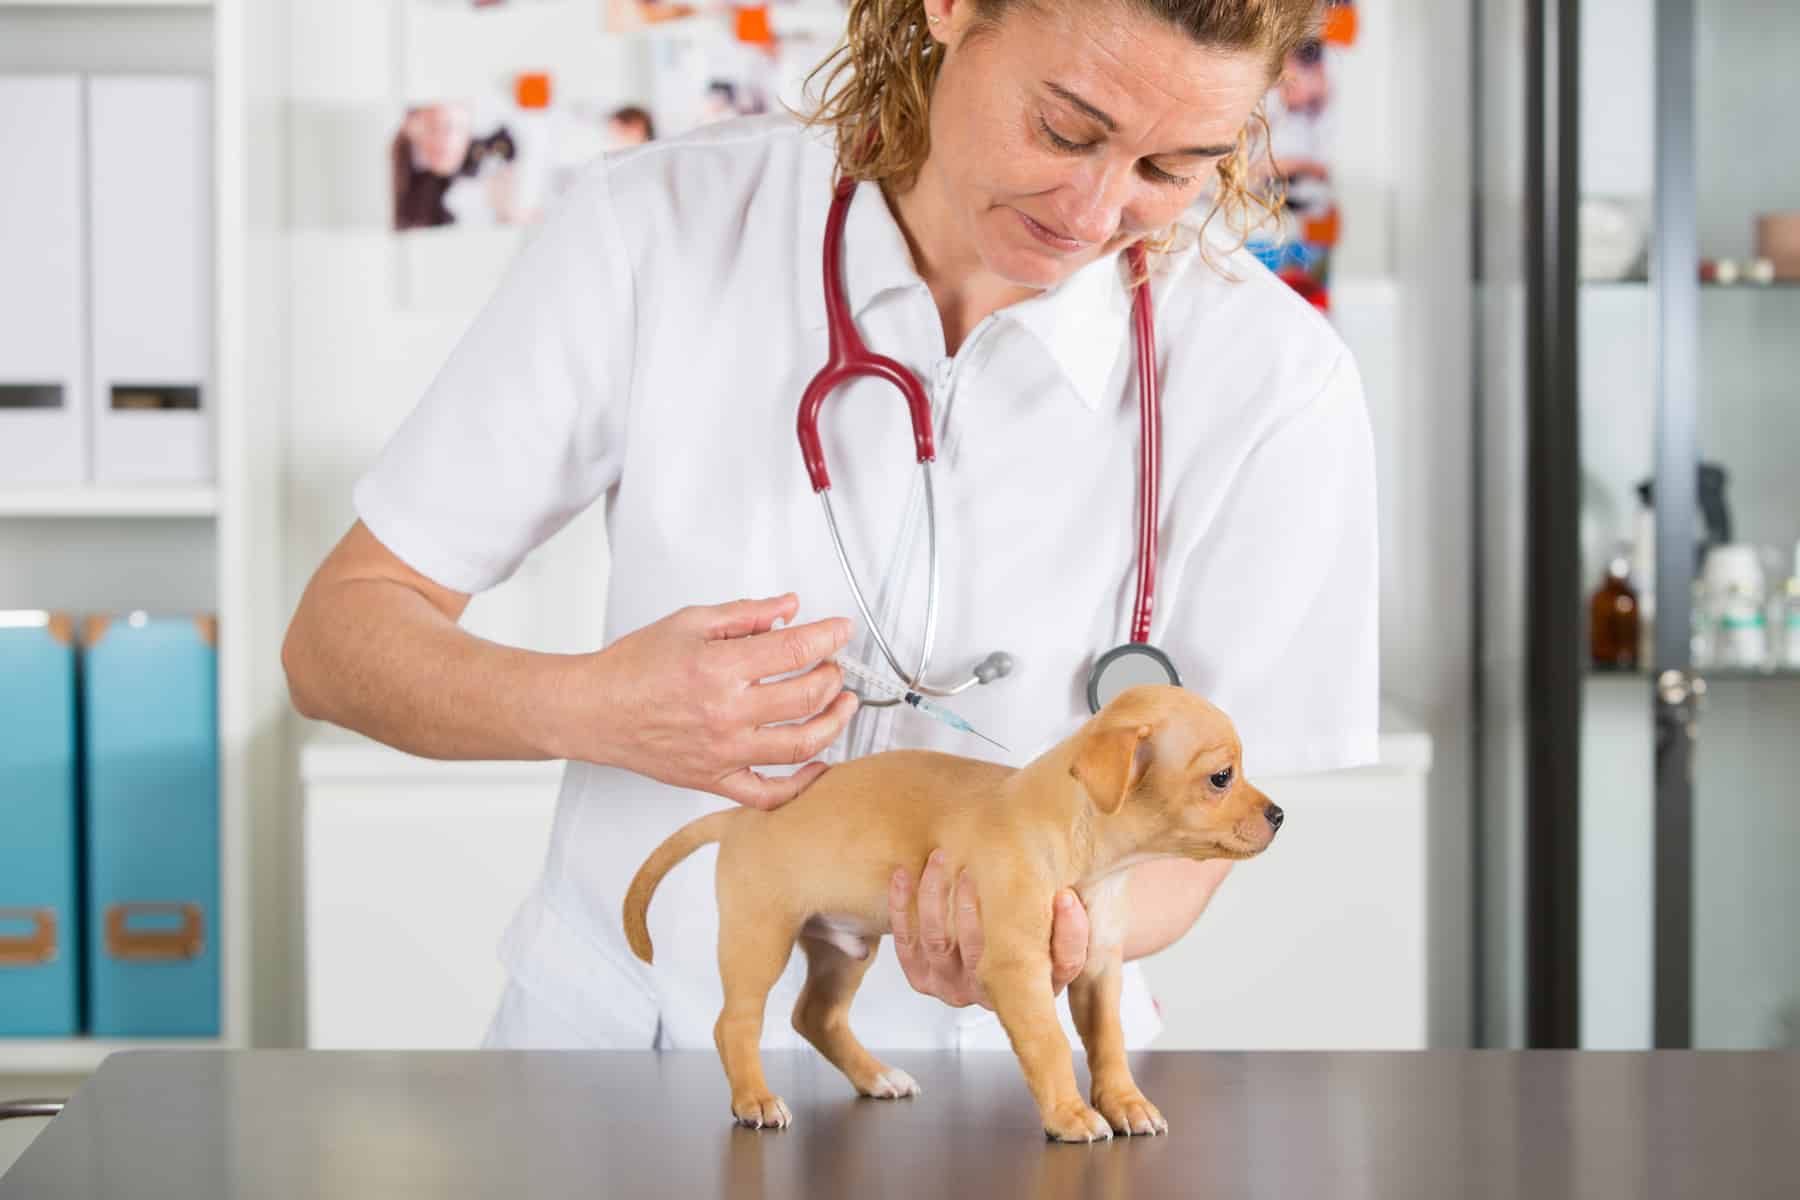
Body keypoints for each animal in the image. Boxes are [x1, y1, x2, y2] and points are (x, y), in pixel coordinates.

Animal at [619, 683, 1281, 1144]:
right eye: (1221, 777)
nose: (1280, 814)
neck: (1088, 854)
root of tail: (741, 817)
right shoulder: (1018, 973)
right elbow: (1048, 1045)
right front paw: (1070, 1114)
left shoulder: (1098, 970)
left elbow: (1109, 1042)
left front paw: (1125, 1103)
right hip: (760, 939)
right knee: (735, 1023)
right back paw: (754, 1099)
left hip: (843, 949)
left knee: (816, 1016)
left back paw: (876, 1077)